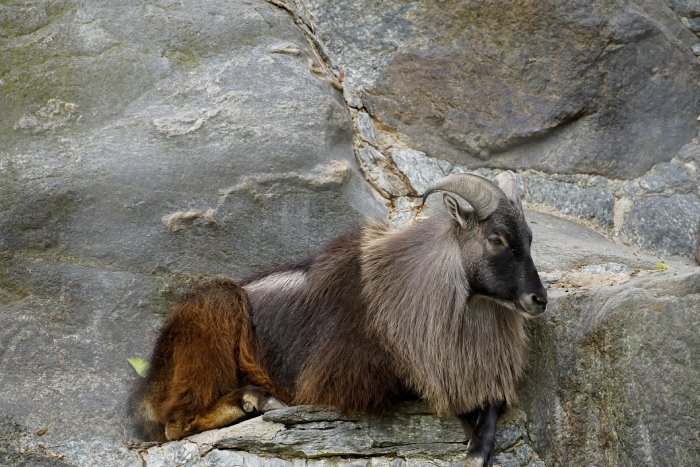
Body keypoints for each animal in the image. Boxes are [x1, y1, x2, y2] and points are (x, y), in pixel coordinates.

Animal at [133, 173, 548, 467]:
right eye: (496, 239)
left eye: (529, 238)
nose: (538, 300)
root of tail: (151, 378)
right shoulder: (352, 373)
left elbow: (492, 404)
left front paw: (478, 447)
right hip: (217, 311)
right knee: (176, 422)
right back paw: (253, 400)